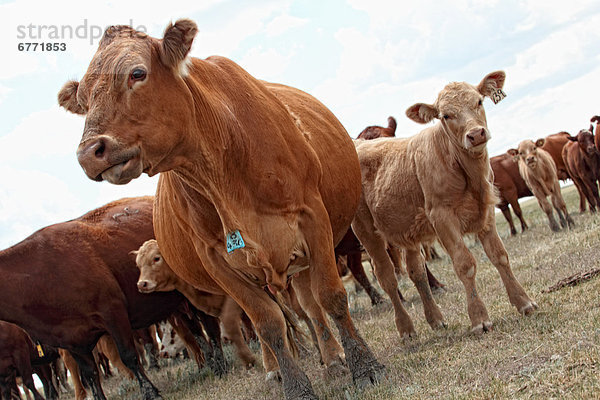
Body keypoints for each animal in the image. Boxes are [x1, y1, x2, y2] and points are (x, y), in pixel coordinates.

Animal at [58, 19, 382, 400]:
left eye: (137, 73)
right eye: (83, 100)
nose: (88, 153)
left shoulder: (313, 217)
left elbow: (331, 297)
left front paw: (366, 367)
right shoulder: (217, 259)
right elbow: (267, 323)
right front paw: (297, 386)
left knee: (311, 305)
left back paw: (332, 357)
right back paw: (284, 367)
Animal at [350, 70, 536, 336]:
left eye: (479, 101)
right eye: (446, 115)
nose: (475, 134)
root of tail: (358, 144)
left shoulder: (486, 210)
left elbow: (499, 255)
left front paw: (523, 302)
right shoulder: (442, 218)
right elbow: (465, 264)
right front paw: (479, 318)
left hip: (406, 227)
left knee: (416, 271)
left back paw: (435, 318)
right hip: (366, 231)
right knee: (387, 277)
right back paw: (405, 328)